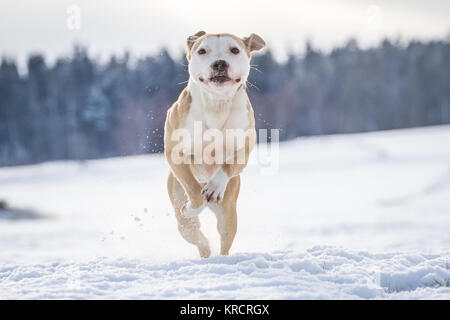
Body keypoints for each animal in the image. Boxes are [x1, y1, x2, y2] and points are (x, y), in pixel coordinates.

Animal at [164, 31, 264, 258]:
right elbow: (193, 189)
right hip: (183, 219)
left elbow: (227, 165)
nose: (219, 63)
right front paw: (192, 206)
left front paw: (215, 187)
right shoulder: (175, 151)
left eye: (234, 49)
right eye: (202, 51)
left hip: (228, 212)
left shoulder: (243, 148)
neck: (216, 104)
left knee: (225, 238)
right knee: (197, 236)